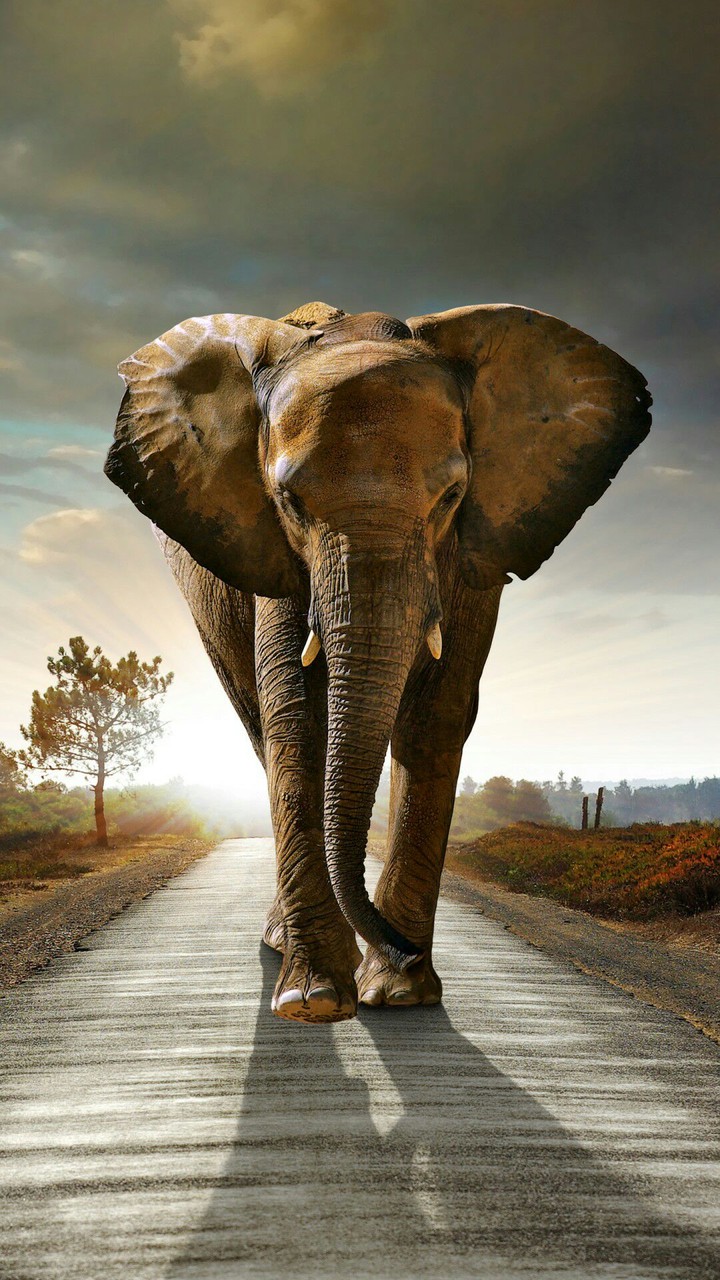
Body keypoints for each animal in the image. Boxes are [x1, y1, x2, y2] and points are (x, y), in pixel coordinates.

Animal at [105, 300, 651, 1024]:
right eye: (289, 501)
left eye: (451, 496)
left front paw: (399, 994)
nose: (403, 948)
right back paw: (286, 947)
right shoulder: (275, 552)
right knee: (259, 727)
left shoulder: (473, 551)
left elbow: (436, 716)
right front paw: (314, 1001)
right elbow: (298, 717)